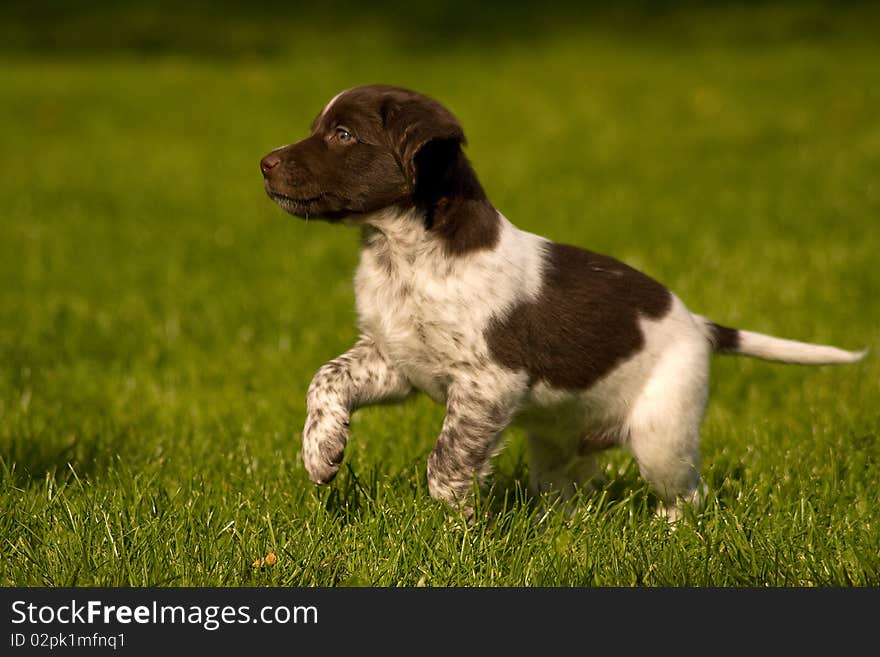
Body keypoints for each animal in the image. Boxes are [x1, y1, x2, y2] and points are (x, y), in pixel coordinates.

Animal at [262, 84, 868, 520]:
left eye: (343, 134)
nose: (264, 162)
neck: (404, 253)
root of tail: (698, 323)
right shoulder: (396, 360)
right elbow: (326, 378)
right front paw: (321, 452)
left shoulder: (488, 383)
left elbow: (448, 460)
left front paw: (460, 526)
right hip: (558, 448)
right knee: (570, 495)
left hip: (662, 435)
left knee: (690, 497)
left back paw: (669, 533)